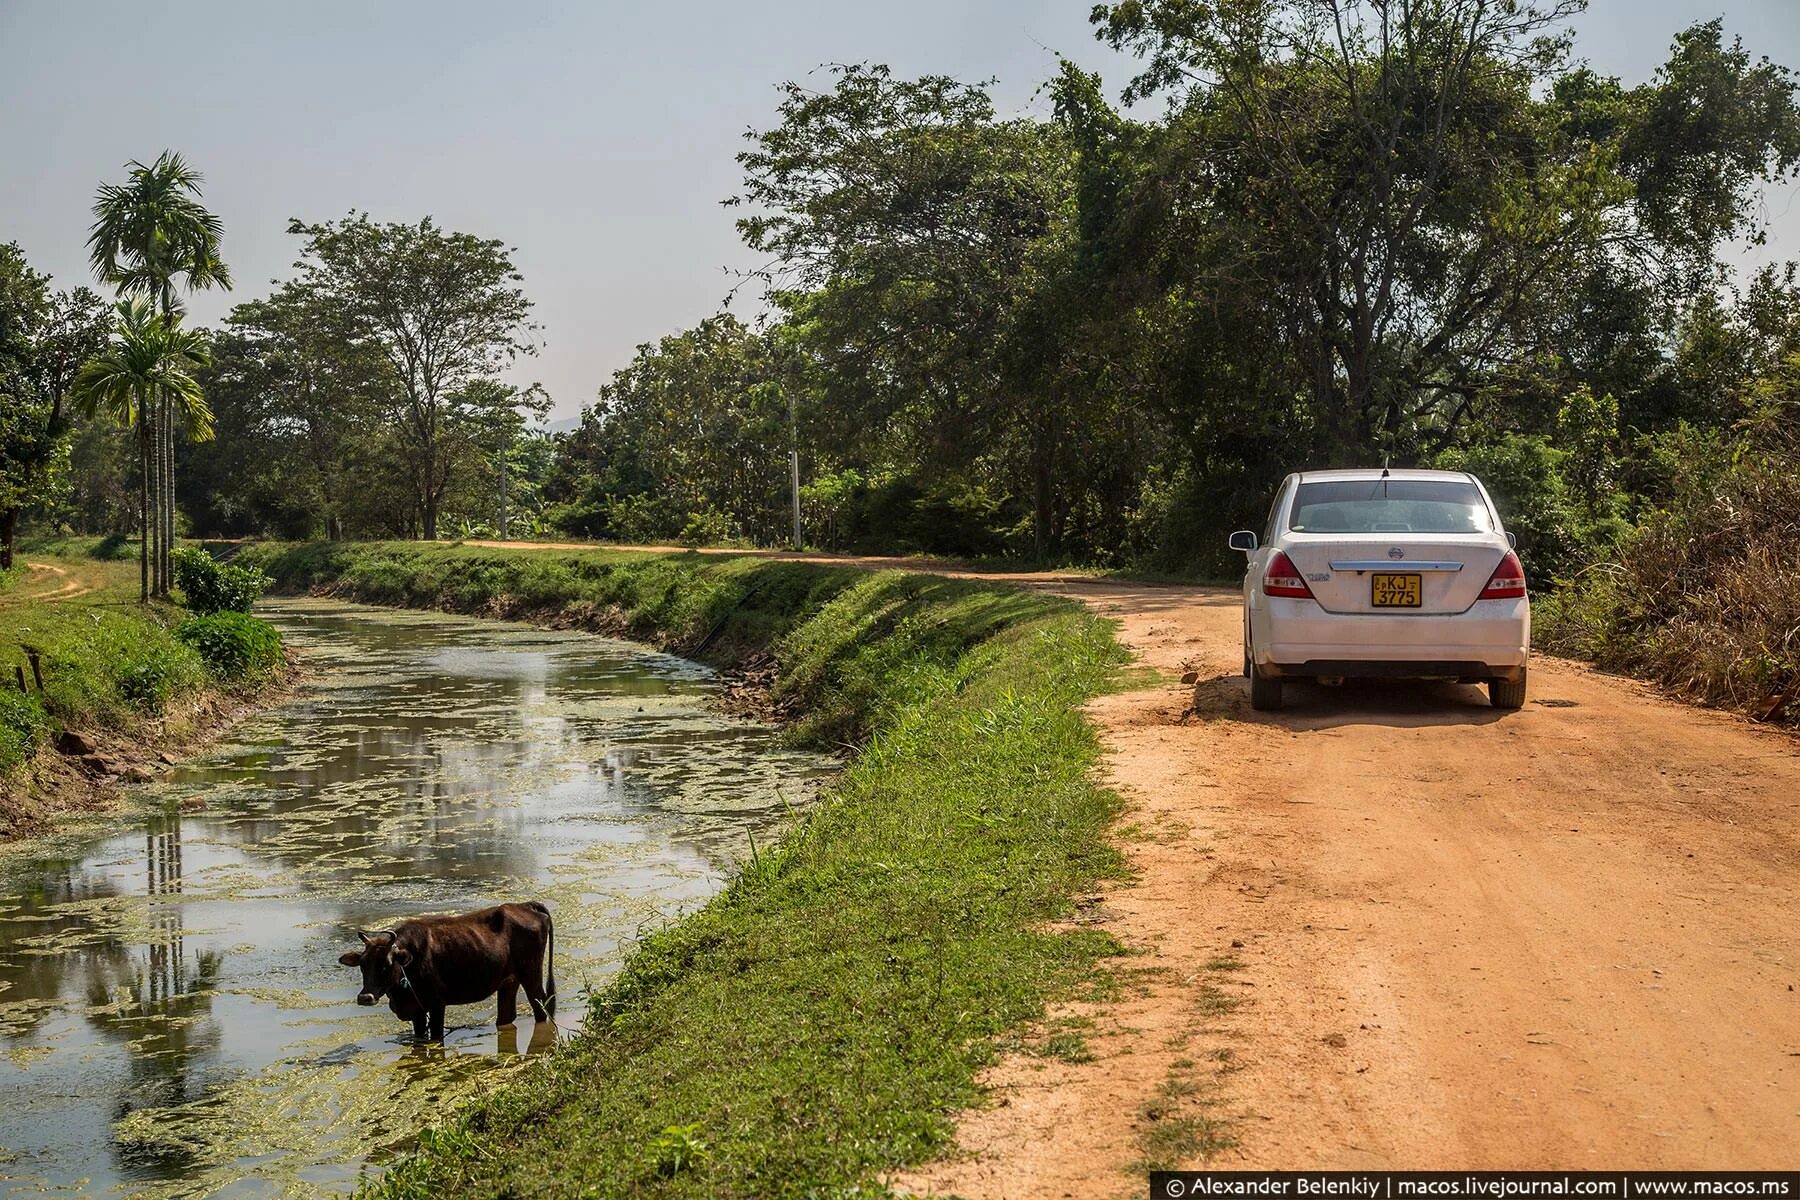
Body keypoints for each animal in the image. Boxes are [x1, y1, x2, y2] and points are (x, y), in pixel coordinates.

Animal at [338, 899, 554, 1043]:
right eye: (363, 965)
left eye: (386, 964)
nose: (365, 997)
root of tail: (525, 905)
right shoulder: (417, 1011)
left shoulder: (437, 1005)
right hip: (509, 982)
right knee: (506, 1016)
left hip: (531, 972)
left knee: (541, 1005)